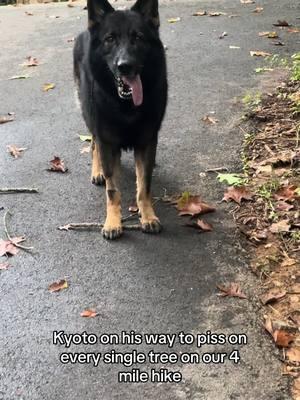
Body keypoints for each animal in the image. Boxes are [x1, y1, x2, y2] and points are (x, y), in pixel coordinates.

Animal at [74, 0, 168, 239]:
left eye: (138, 37)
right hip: (90, 117)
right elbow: (112, 189)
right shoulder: (106, 140)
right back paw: (98, 171)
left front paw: (148, 216)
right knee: (93, 144)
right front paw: (113, 221)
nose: (124, 66)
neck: (125, 106)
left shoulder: (147, 142)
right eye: (110, 39)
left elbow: (144, 185)